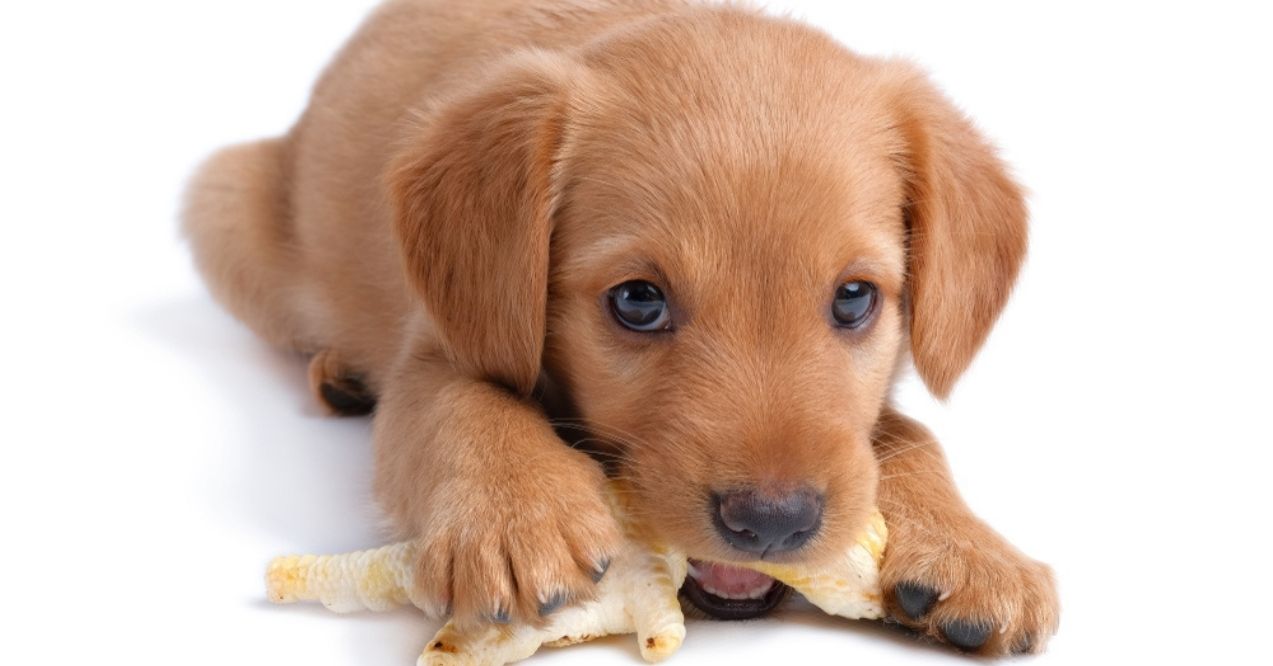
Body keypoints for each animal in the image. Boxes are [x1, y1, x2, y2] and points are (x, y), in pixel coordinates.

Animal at [184, 0, 1059, 657]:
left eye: (853, 299)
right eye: (638, 301)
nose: (773, 523)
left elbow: (908, 432)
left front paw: (972, 549)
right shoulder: (440, 341)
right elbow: (460, 404)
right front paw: (516, 515)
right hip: (223, 207)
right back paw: (337, 370)